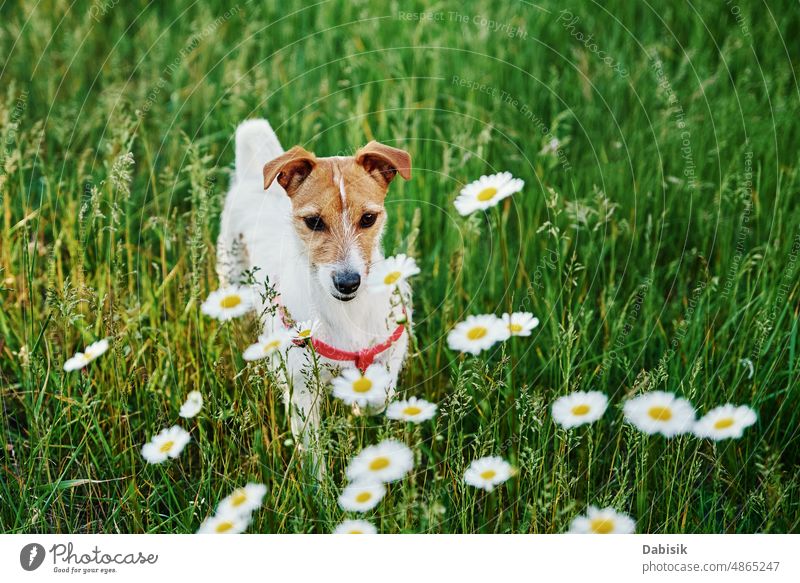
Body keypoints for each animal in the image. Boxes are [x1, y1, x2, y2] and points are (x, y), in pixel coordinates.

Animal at [217, 118, 412, 452]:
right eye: (314, 222)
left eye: (368, 218)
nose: (348, 283)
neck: (348, 313)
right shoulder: (302, 392)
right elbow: (312, 454)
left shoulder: (391, 348)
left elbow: (378, 396)